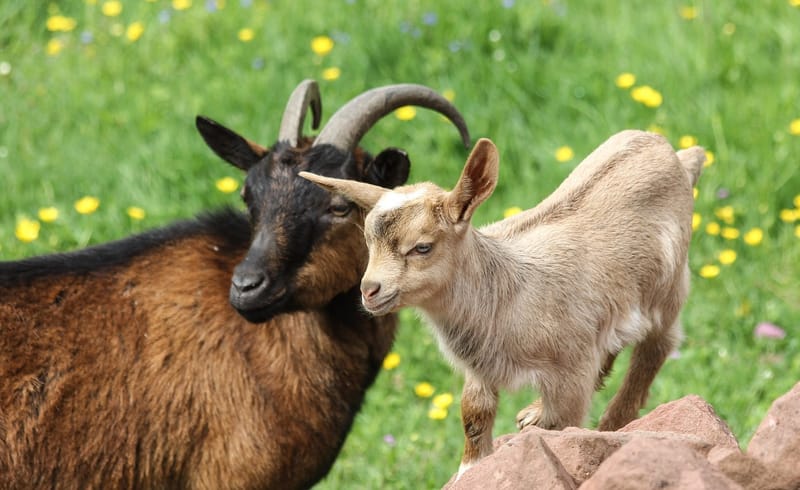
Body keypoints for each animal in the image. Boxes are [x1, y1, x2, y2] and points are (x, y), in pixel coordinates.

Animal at [302, 131, 708, 478]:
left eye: (422, 247)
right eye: (368, 243)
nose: (370, 290)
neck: (504, 290)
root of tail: (673, 152)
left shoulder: (571, 370)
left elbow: (565, 422)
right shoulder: (481, 368)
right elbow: (474, 412)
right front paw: (471, 468)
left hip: (669, 291)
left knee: (655, 349)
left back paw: (612, 425)